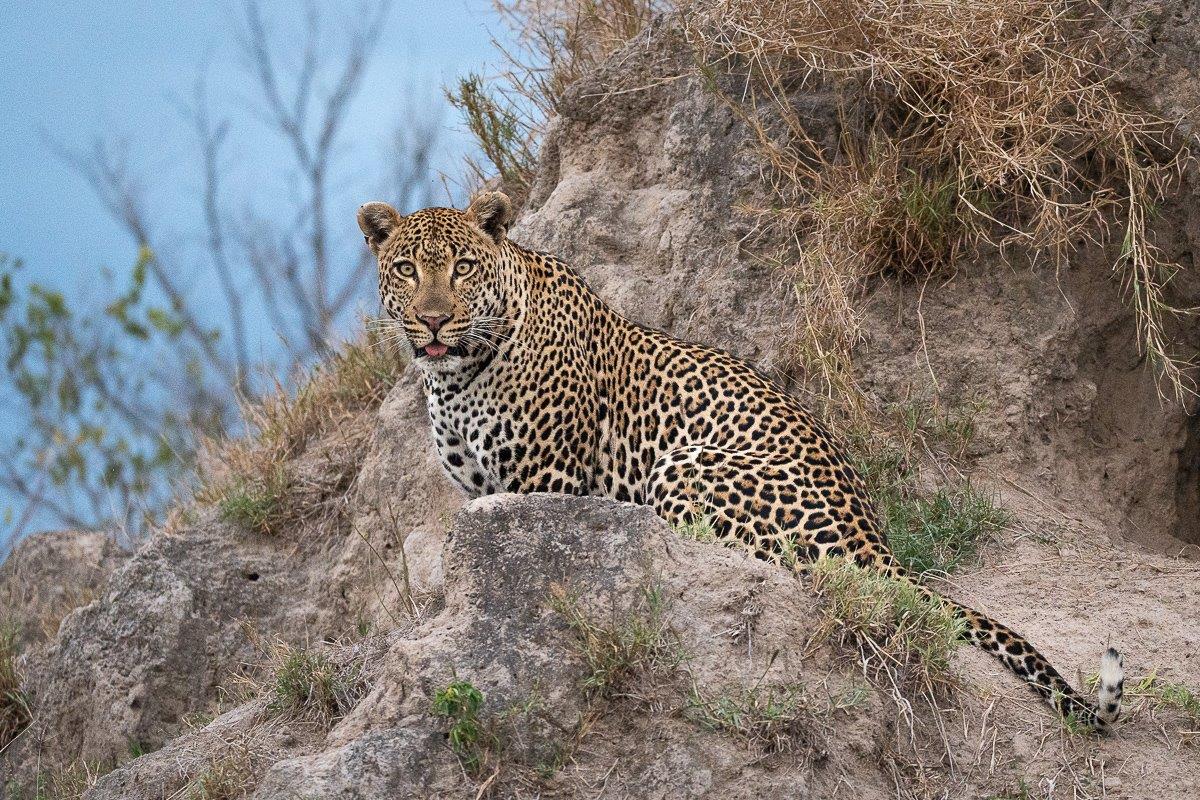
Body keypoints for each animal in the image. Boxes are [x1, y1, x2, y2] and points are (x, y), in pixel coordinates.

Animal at [358, 191, 1125, 730]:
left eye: (461, 268)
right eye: (406, 269)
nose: (431, 319)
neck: (458, 375)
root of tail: (875, 539)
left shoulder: (545, 479)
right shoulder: (481, 489)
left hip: (685, 467)